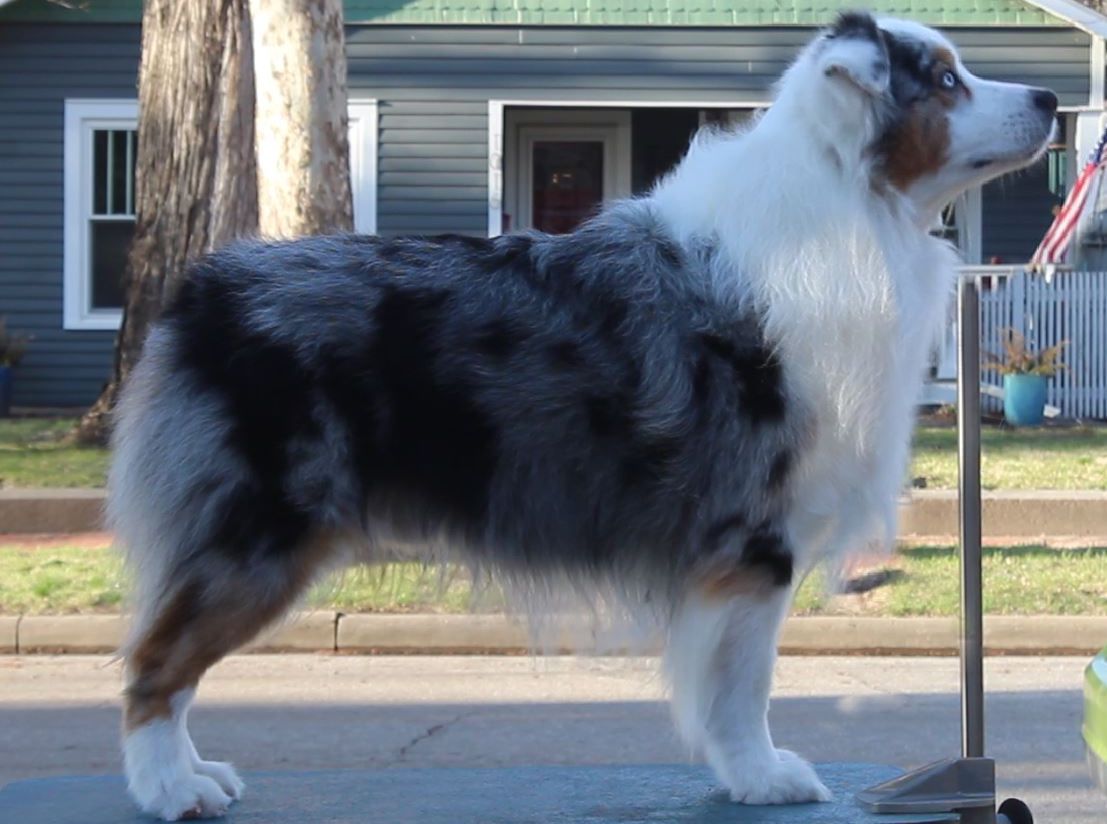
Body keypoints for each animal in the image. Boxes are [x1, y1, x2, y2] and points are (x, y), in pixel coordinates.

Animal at [110, 11, 1053, 819]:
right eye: (944, 80)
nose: (1048, 98)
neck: (853, 204)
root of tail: (201, 289)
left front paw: (738, 773)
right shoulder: (754, 536)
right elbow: (741, 682)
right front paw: (760, 776)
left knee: (170, 660)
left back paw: (195, 774)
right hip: (256, 535)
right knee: (154, 664)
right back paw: (169, 789)